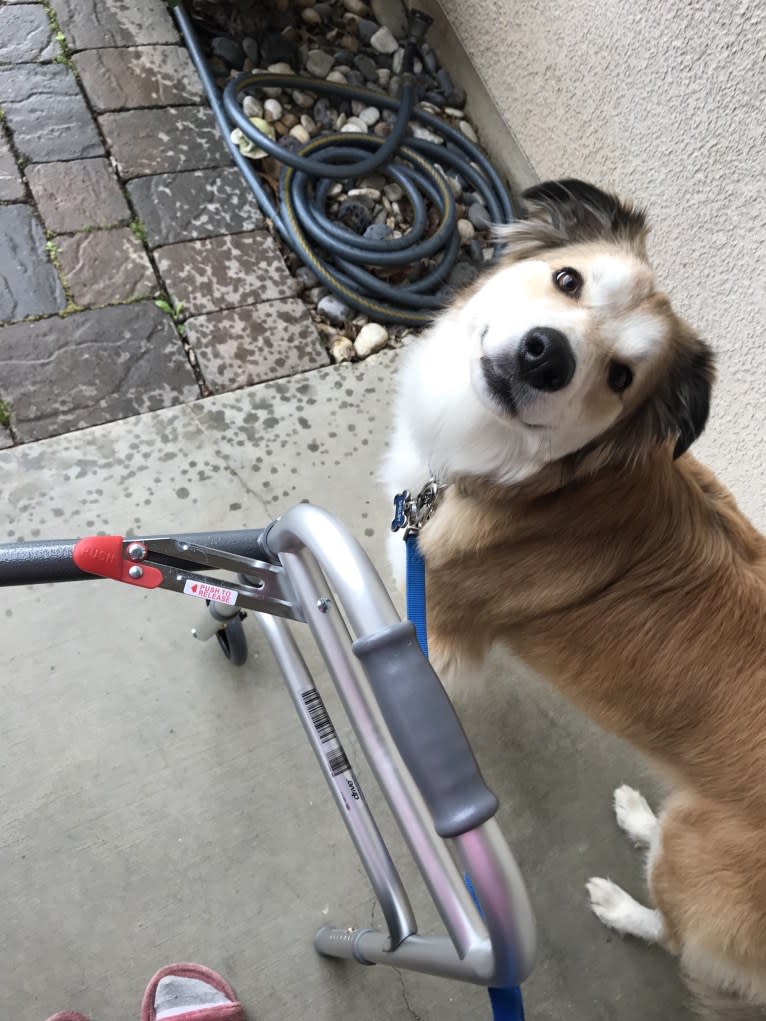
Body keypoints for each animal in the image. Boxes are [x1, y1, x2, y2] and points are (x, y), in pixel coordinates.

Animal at [386, 179, 766, 1016]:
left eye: (620, 377)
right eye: (569, 280)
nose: (546, 354)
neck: (547, 480)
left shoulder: (443, 627)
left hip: (701, 854)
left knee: (678, 934)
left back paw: (622, 904)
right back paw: (637, 814)